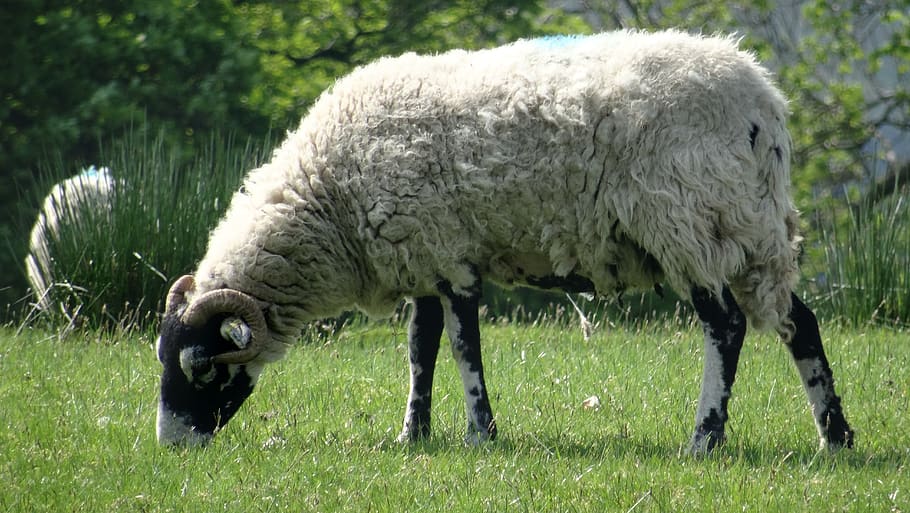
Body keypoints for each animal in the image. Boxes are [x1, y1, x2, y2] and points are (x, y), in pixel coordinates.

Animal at [155, 29, 853, 453]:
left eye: (202, 368)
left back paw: (704, 440)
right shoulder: (422, 254)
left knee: (726, 327)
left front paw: (480, 434)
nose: (171, 447)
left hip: (688, 221)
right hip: (749, 227)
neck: (328, 200)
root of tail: (764, 103)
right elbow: (420, 350)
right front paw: (413, 434)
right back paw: (835, 437)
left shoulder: (449, 255)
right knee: (800, 322)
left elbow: (465, 347)